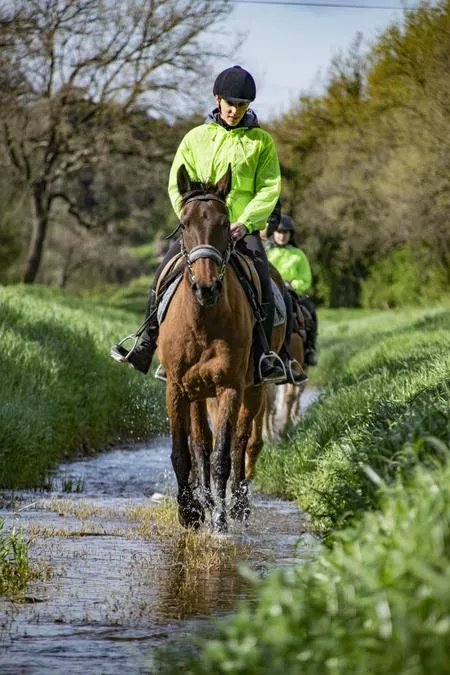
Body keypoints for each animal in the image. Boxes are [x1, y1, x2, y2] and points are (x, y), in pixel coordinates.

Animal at [157, 164, 285, 532]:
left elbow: (222, 456)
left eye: (226, 223)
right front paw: (190, 511)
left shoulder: (229, 387)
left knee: (243, 442)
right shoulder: (177, 387)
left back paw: (238, 505)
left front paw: (219, 521)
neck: (203, 320)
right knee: (200, 443)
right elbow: (185, 452)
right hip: (197, 392)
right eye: (184, 224)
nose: (206, 287)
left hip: (253, 389)